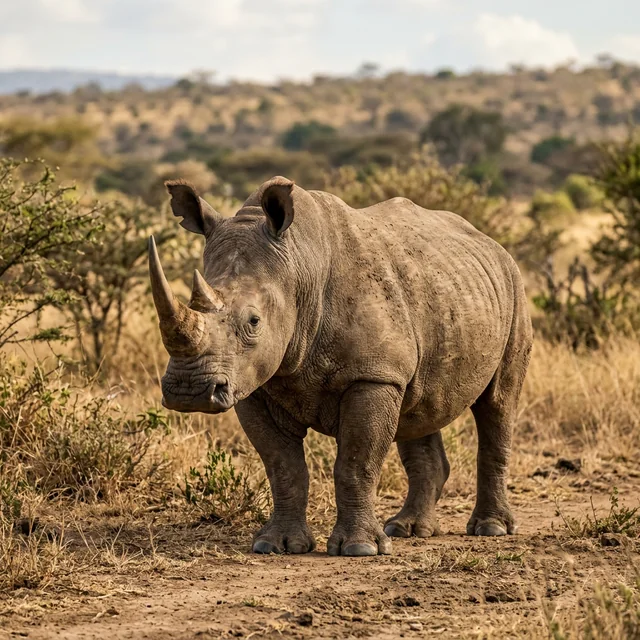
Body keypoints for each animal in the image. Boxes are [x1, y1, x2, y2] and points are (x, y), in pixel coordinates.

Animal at [149, 176, 532, 556]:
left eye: (254, 321)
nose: (189, 392)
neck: (298, 267)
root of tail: (490, 242)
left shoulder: (373, 375)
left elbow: (356, 462)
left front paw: (360, 548)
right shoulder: (253, 385)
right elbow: (282, 466)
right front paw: (276, 545)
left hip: (513, 286)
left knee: (497, 404)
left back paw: (491, 528)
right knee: (419, 409)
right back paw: (407, 529)